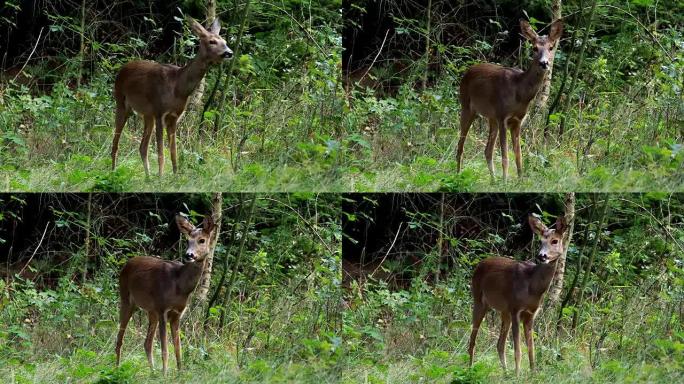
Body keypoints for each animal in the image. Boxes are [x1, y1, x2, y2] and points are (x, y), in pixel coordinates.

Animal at [110, 18, 232, 177]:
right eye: (212, 41)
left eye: (225, 41)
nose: (229, 52)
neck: (178, 87)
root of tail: (122, 69)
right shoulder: (160, 112)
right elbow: (161, 152)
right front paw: (161, 177)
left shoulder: (174, 117)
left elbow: (174, 152)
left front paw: (175, 176)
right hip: (121, 102)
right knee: (116, 143)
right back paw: (113, 172)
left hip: (147, 115)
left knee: (142, 147)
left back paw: (148, 177)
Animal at [115, 216, 216, 376]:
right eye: (187, 240)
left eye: (202, 240)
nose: (189, 255)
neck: (180, 285)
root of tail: (126, 264)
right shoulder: (163, 309)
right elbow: (165, 349)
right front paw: (165, 375)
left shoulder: (177, 314)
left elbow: (178, 348)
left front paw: (180, 373)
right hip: (127, 299)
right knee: (120, 338)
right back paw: (117, 369)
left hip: (151, 311)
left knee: (147, 343)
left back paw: (152, 372)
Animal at [456, 20, 564, 182]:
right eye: (534, 47)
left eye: (551, 47)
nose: (544, 63)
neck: (520, 93)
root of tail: (468, 71)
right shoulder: (503, 117)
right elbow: (505, 156)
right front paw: (506, 181)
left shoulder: (518, 120)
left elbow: (519, 156)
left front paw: (520, 180)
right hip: (467, 107)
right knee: (460, 146)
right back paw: (457, 175)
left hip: (491, 117)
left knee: (487, 150)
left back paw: (493, 180)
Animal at [464, 216, 568, 376]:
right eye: (540, 241)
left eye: (555, 241)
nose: (542, 256)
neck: (533, 287)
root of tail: (480, 264)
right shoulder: (516, 309)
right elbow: (518, 350)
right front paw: (518, 375)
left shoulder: (531, 314)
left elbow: (531, 349)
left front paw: (533, 373)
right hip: (479, 300)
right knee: (473, 340)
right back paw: (470, 370)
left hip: (503, 311)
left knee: (499, 344)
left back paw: (506, 373)